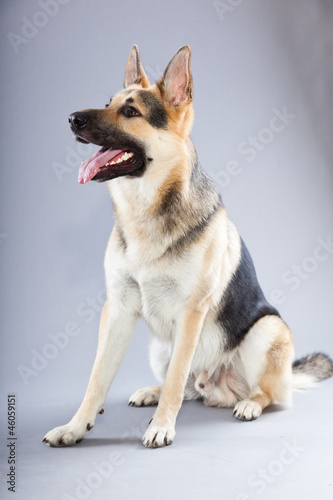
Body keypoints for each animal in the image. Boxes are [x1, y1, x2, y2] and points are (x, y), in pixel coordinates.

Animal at [42, 45, 330, 448]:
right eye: (108, 103)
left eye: (131, 111)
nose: (71, 119)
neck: (144, 213)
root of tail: (218, 386)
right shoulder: (117, 309)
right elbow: (97, 378)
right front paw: (75, 427)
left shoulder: (191, 313)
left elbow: (177, 380)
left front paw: (162, 426)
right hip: (159, 347)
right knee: (188, 386)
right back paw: (153, 391)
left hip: (267, 331)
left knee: (262, 392)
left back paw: (249, 404)